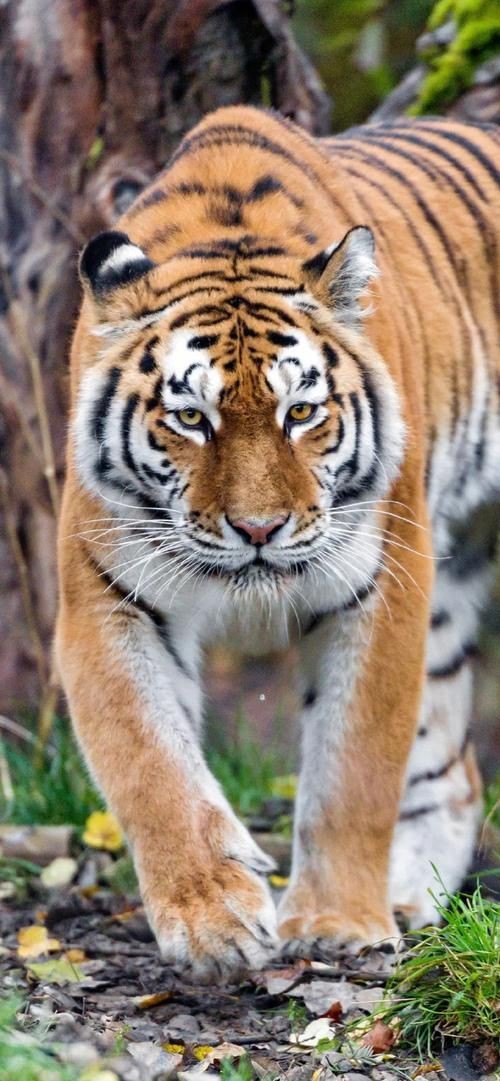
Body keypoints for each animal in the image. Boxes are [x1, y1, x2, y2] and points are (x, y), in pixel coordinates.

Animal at [56, 105, 500, 981]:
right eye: (191, 418)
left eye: (301, 412)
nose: (258, 529)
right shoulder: (103, 593)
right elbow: (150, 762)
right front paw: (214, 919)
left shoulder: (384, 579)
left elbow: (353, 765)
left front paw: (336, 923)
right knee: (454, 769)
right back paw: (411, 894)